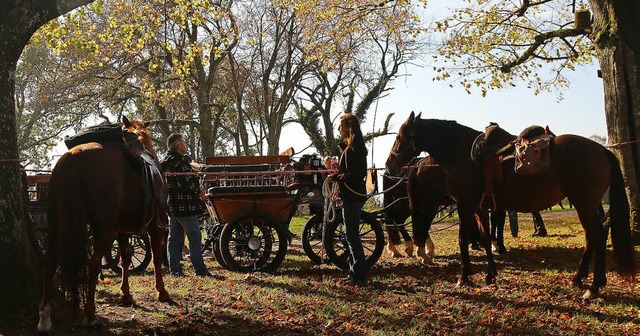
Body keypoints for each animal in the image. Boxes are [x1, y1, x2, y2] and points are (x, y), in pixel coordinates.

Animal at [37, 117, 170, 332]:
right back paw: (90, 314)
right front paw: (161, 291)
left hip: (58, 225)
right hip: (103, 229)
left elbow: (125, 257)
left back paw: (45, 316)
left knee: (50, 262)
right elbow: (157, 256)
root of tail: (75, 157)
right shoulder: (155, 227)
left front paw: (126, 294)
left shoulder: (122, 229)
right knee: (93, 262)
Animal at [384, 113, 636, 300]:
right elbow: (485, 237)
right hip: (588, 205)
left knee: (597, 236)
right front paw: (490, 275)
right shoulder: (480, 207)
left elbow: (464, 239)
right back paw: (580, 278)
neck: (462, 154)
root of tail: (602, 149)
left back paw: (593, 286)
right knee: (594, 237)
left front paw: (464, 277)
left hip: (584, 203)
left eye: (400, 135)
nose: (389, 163)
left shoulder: (466, 205)